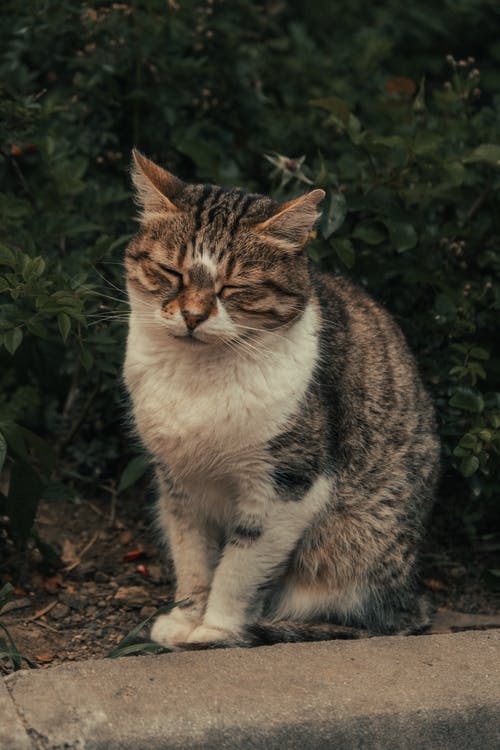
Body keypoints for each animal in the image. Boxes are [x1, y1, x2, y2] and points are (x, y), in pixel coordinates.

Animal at [123, 150, 440, 648]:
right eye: (172, 272)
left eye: (234, 287)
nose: (193, 316)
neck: (197, 380)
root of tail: (413, 596)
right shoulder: (179, 485)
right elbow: (192, 558)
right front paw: (185, 618)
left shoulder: (287, 487)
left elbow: (238, 568)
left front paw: (216, 629)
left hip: (351, 545)